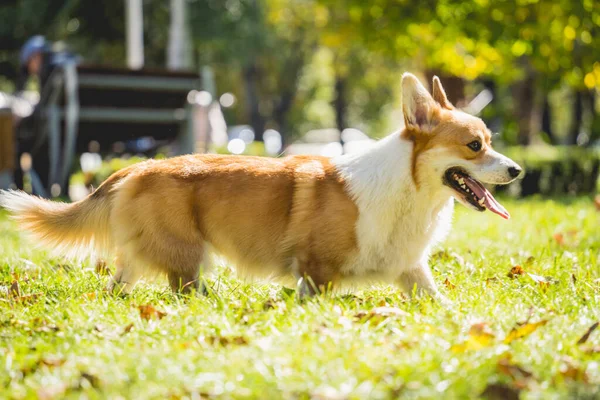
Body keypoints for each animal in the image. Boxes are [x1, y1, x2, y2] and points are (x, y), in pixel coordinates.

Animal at [0, 73, 520, 302]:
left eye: (490, 141)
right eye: (474, 145)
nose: (517, 171)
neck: (410, 190)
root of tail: (133, 169)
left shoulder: (411, 271)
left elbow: (439, 302)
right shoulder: (316, 269)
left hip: (148, 259)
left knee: (119, 284)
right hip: (189, 257)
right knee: (183, 288)